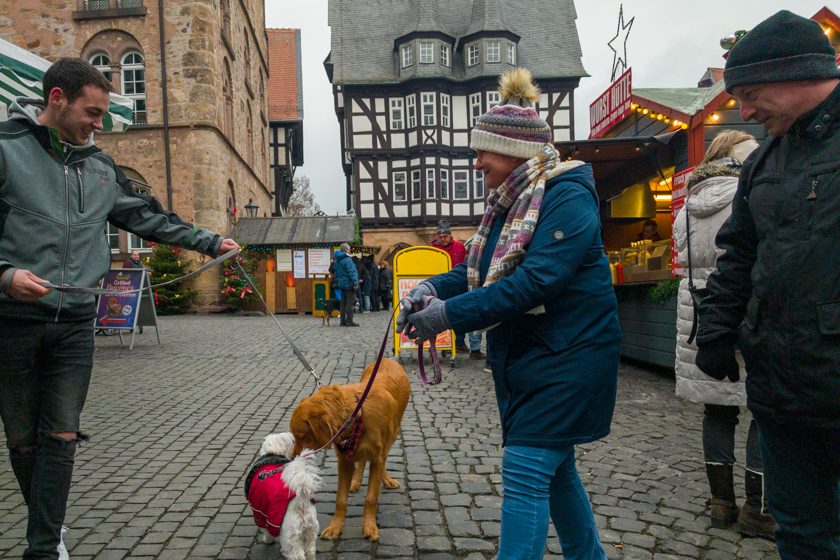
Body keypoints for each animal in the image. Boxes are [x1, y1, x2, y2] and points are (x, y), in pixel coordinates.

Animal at [290, 358, 412, 544]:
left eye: (301, 436)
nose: (291, 459)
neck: (357, 414)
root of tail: (387, 359)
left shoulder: (377, 457)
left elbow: (371, 497)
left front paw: (369, 527)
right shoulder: (344, 460)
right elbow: (341, 499)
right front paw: (335, 527)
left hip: (393, 434)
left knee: (382, 458)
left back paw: (385, 479)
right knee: (361, 459)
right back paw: (356, 481)